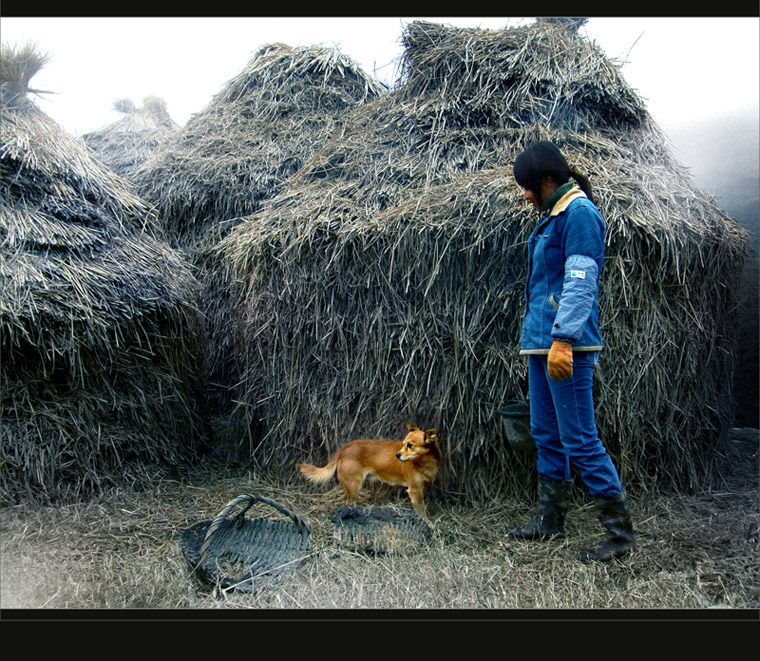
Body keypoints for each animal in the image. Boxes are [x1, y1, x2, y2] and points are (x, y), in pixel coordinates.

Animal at [296, 422, 440, 520]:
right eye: (404, 444)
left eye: (409, 446)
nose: (397, 455)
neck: (425, 462)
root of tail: (345, 447)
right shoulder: (415, 491)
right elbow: (422, 511)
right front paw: (428, 524)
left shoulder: (421, 489)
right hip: (355, 486)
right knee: (349, 503)